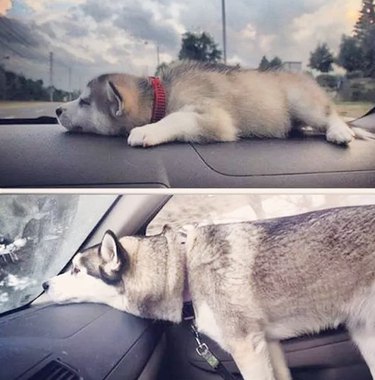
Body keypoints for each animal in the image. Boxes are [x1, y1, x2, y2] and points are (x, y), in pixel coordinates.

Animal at [54, 61, 374, 146]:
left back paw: (340, 131)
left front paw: (148, 131)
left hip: (301, 101)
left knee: (330, 115)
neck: (161, 94)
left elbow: (176, 118)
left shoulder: (213, 117)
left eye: (85, 101)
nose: (56, 110)